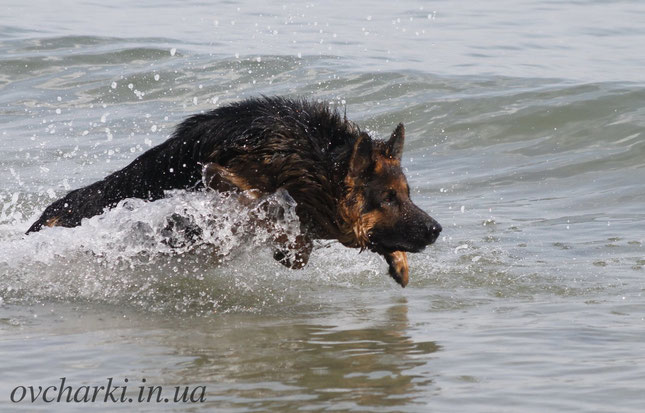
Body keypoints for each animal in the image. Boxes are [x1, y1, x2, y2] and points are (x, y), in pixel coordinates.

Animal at [27, 96, 440, 286]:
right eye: (387, 198)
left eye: (406, 194)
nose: (436, 229)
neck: (310, 159)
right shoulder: (218, 173)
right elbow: (266, 205)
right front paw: (291, 245)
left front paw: (399, 261)